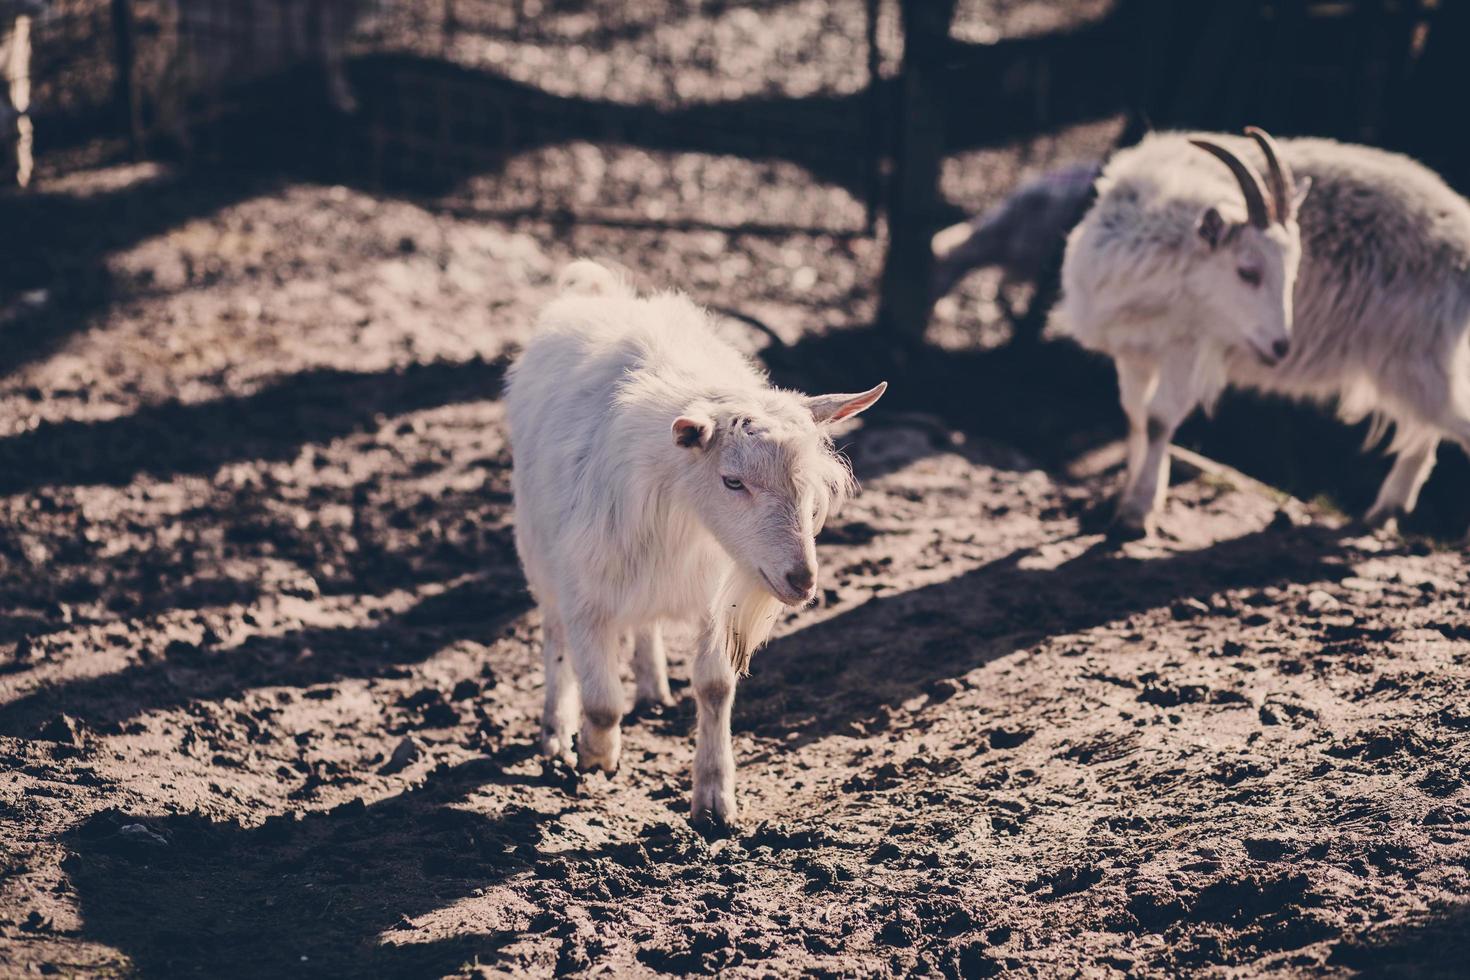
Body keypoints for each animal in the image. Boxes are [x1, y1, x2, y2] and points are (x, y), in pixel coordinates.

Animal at [505, 260, 887, 828]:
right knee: (553, 635)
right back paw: (555, 732)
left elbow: (714, 687)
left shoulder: (711, 594)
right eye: (732, 481)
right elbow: (601, 700)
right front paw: (596, 755)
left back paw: (653, 687)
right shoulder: (584, 591)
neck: (682, 510)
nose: (801, 580)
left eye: (811, 486)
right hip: (538, 548)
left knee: (644, 625)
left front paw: (714, 798)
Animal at [1058, 128, 1470, 537]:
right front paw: (1127, 498)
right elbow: (1135, 416)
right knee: (1425, 433)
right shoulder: (1134, 351)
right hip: (1421, 365)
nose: (1281, 346)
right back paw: (1383, 512)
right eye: (1248, 271)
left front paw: (1137, 513)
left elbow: (1159, 419)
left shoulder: (1189, 348)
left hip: (1412, 360)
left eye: (1293, 272)